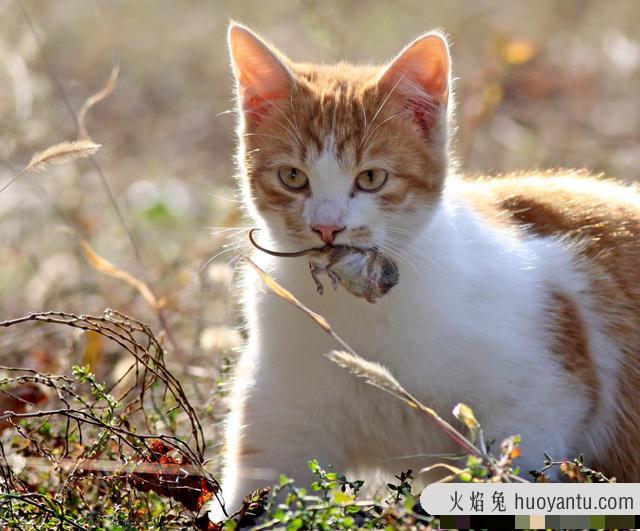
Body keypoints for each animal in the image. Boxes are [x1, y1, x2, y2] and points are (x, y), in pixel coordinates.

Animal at [214, 22, 640, 516]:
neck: (362, 311)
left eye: (371, 178)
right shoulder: (281, 427)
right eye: (293, 177)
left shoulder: (541, 403)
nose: (327, 227)